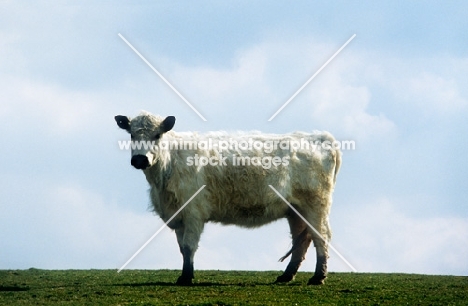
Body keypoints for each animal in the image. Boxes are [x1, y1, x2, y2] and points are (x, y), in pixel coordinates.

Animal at [113, 111, 340, 286]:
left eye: (158, 135)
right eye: (131, 135)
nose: (140, 159)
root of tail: (320, 137)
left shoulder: (193, 211)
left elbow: (189, 245)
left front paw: (186, 278)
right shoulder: (178, 214)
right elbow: (182, 248)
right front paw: (186, 274)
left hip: (316, 205)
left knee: (321, 237)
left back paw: (318, 277)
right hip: (295, 210)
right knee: (301, 241)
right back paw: (286, 276)